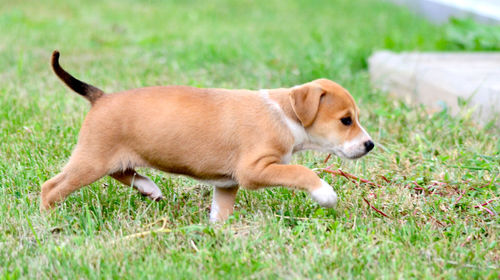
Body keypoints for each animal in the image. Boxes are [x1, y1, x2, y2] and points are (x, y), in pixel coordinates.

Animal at [41, 50, 374, 221]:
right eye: (346, 120)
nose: (369, 145)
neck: (285, 112)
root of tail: (101, 97)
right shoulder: (254, 170)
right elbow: (300, 171)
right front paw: (325, 193)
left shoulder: (227, 185)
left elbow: (221, 212)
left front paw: (220, 232)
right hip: (91, 159)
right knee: (52, 187)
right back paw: (48, 220)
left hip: (107, 158)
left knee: (123, 172)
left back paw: (149, 188)